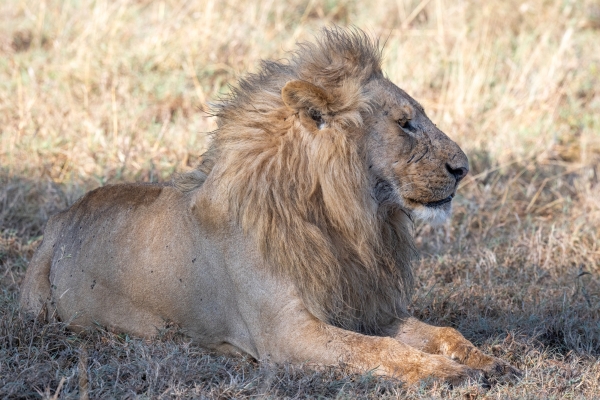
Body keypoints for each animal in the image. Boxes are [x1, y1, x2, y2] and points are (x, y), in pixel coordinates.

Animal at [21, 28, 520, 388]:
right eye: (405, 124)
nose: (464, 168)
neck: (345, 221)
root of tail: (65, 214)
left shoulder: (366, 308)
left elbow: (441, 333)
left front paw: (488, 361)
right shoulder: (286, 333)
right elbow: (378, 350)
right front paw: (449, 374)